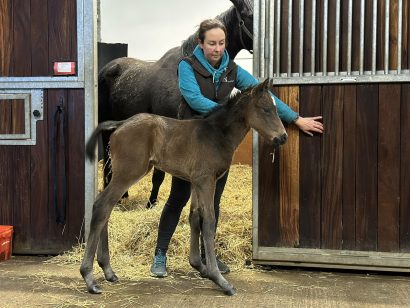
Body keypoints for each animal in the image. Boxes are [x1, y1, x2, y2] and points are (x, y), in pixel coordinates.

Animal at [79, 79, 286, 296]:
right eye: (266, 109)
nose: (283, 137)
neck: (215, 135)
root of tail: (121, 123)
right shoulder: (206, 181)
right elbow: (208, 222)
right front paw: (219, 279)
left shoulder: (195, 181)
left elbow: (195, 217)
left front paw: (199, 266)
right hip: (129, 172)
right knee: (103, 206)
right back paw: (90, 277)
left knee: (106, 207)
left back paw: (108, 270)